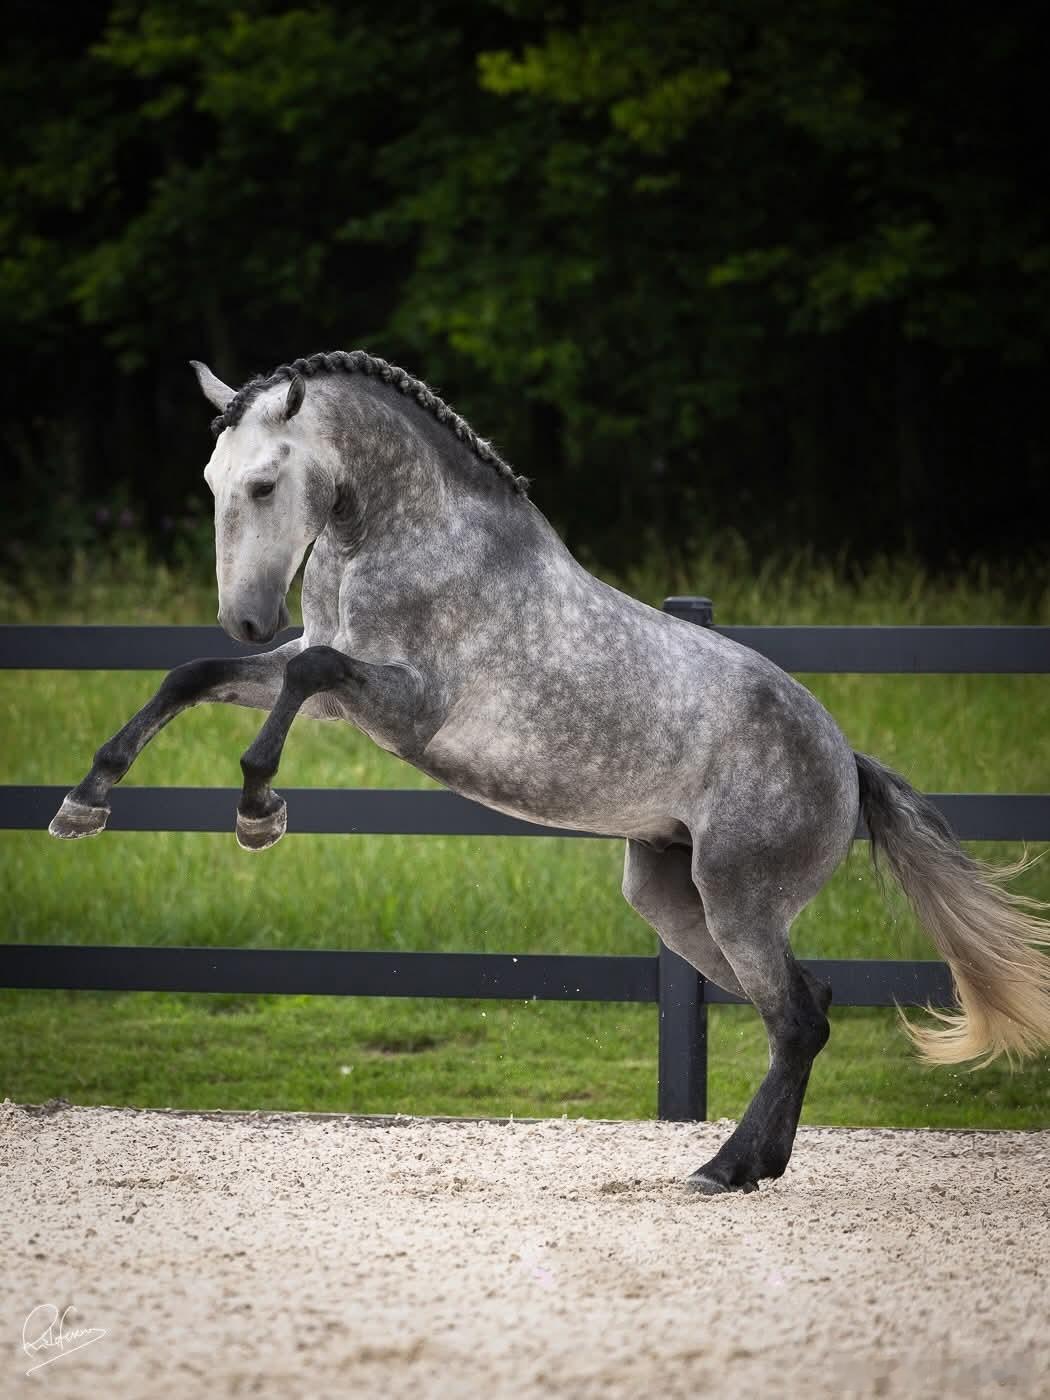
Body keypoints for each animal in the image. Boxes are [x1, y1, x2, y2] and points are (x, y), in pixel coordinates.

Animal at [49, 349, 1050, 1193]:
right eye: (212, 483)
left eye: (263, 483)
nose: (247, 618)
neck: (404, 539)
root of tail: (845, 762)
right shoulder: (337, 685)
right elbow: (196, 676)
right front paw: (83, 803)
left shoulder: (404, 705)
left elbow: (303, 676)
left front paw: (258, 808)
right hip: (680, 904)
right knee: (806, 1012)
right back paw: (757, 1165)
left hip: (739, 901)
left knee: (799, 1019)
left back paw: (720, 1169)